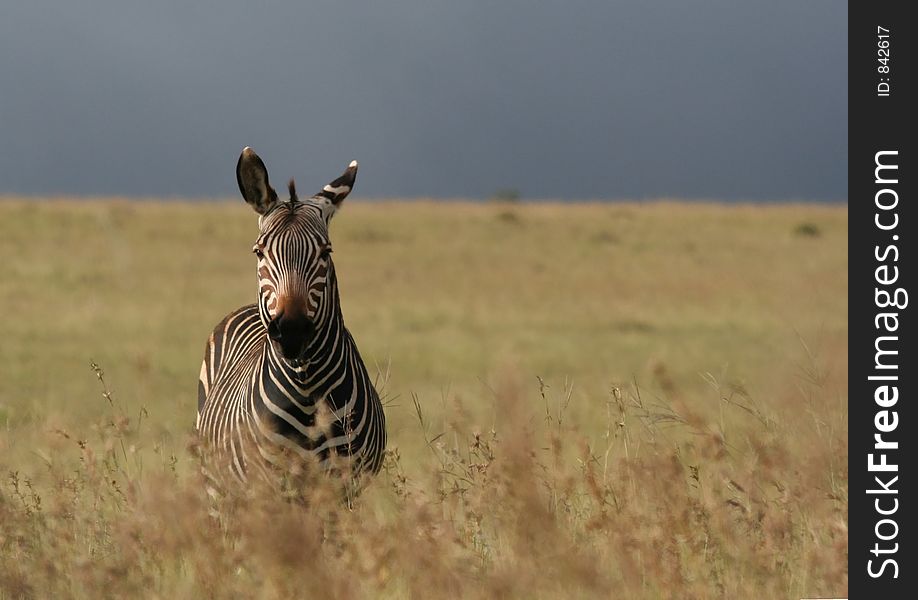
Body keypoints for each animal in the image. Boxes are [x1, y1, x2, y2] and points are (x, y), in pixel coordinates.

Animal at [198, 148, 388, 500]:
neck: (307, 391)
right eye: (259, 252)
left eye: (326, 252)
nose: (291, 330)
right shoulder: (269, 486)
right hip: (220, 488)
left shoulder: (344, 488)